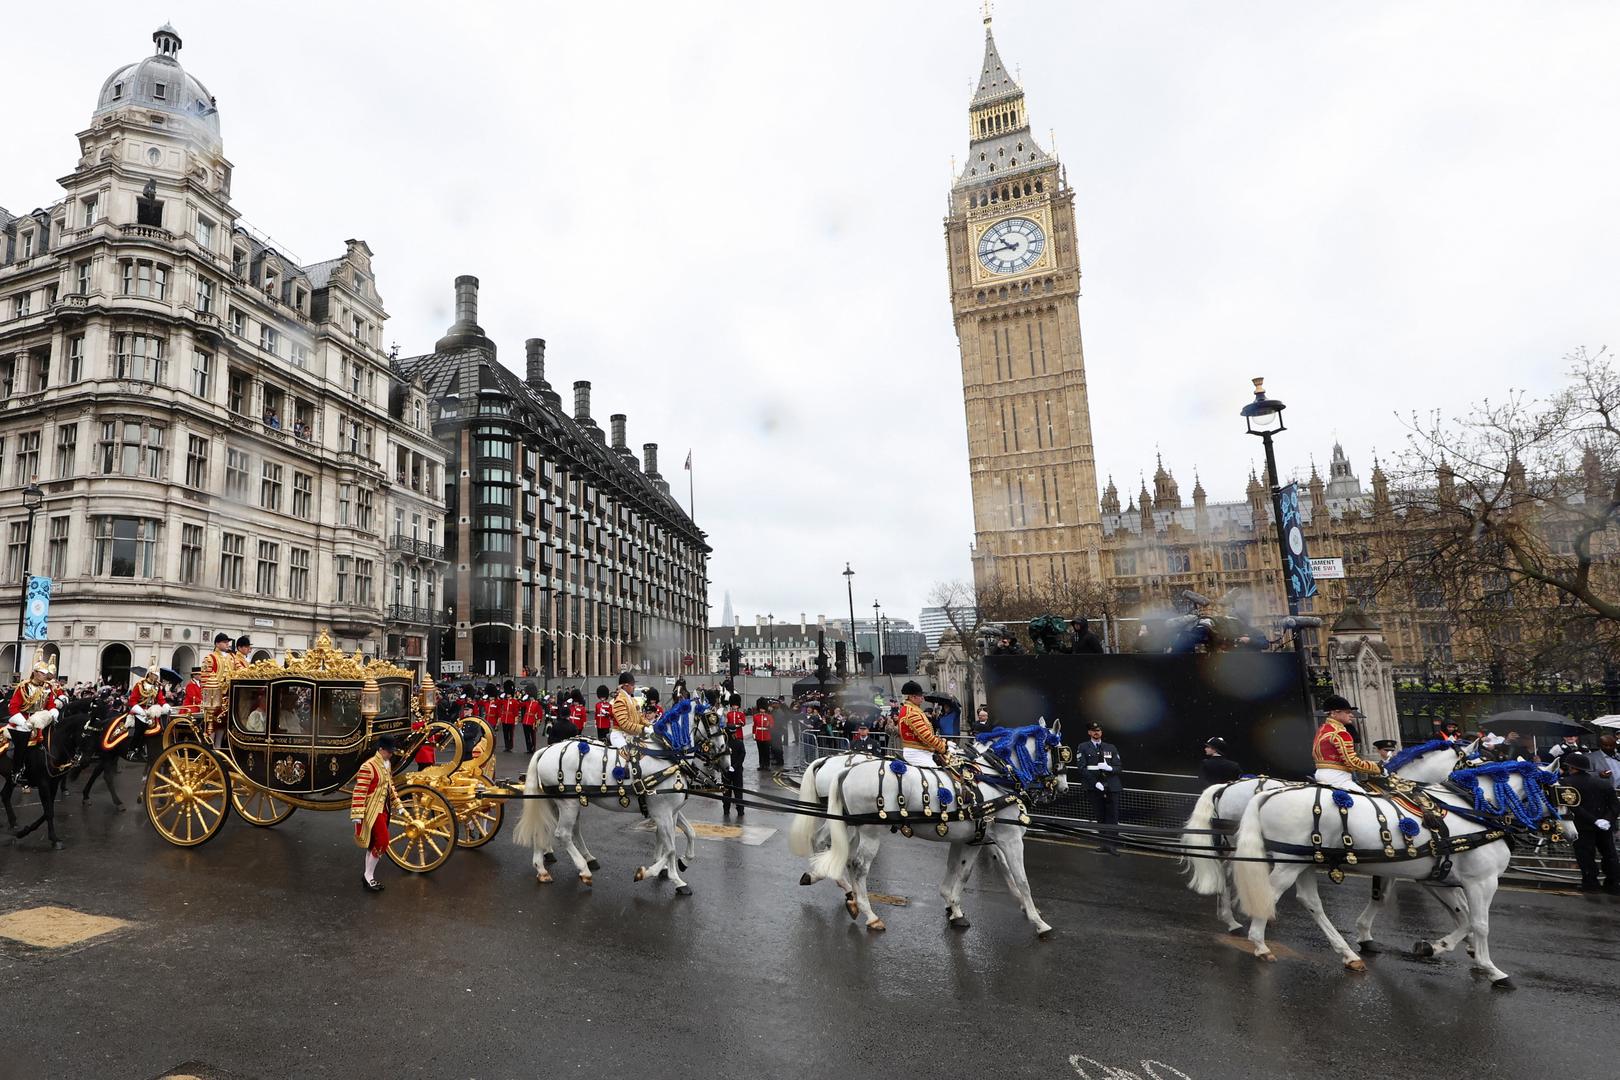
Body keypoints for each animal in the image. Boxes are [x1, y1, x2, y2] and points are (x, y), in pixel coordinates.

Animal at [511, 702, 729, 893]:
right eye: (712, 722)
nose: (726, 759)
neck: (666, 757)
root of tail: (546, 749)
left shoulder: (671, 812)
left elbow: (687, 835)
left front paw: (677, 869)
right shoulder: (661, 812)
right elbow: (670, 848)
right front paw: (652, 873)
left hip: (556, 802)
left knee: (547, 829)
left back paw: (543, 869)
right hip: (568, 803)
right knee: (562, 834)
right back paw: (584, 869)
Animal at [800, 725, 1075, 939]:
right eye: (1061, 752)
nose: (1062, 787)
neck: (994, 777)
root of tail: (844, 769)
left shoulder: (971, 840)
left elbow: (961, 873)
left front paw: (954, 909)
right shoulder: (1009, 838)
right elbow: (1020, 878)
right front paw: (1037, 920)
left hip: (847, 824)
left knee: (831, 848)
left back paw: (833, 885)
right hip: (869, 830)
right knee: (857, 865)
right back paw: (869, 913)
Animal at [1224, 761, 1568, 990]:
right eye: (1557, 793)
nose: (1571, 834)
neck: (1472, 811)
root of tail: (1272, 792)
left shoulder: (1439, 877)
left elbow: (1464, 918)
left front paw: (1437, 947)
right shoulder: (1481, 881)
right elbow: (1480, 924)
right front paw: (1491, 968)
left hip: (1304, 861)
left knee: (1310, 901)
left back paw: (1347, 954)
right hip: (1290, 862)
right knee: (1267, 894)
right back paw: (1259, 944)